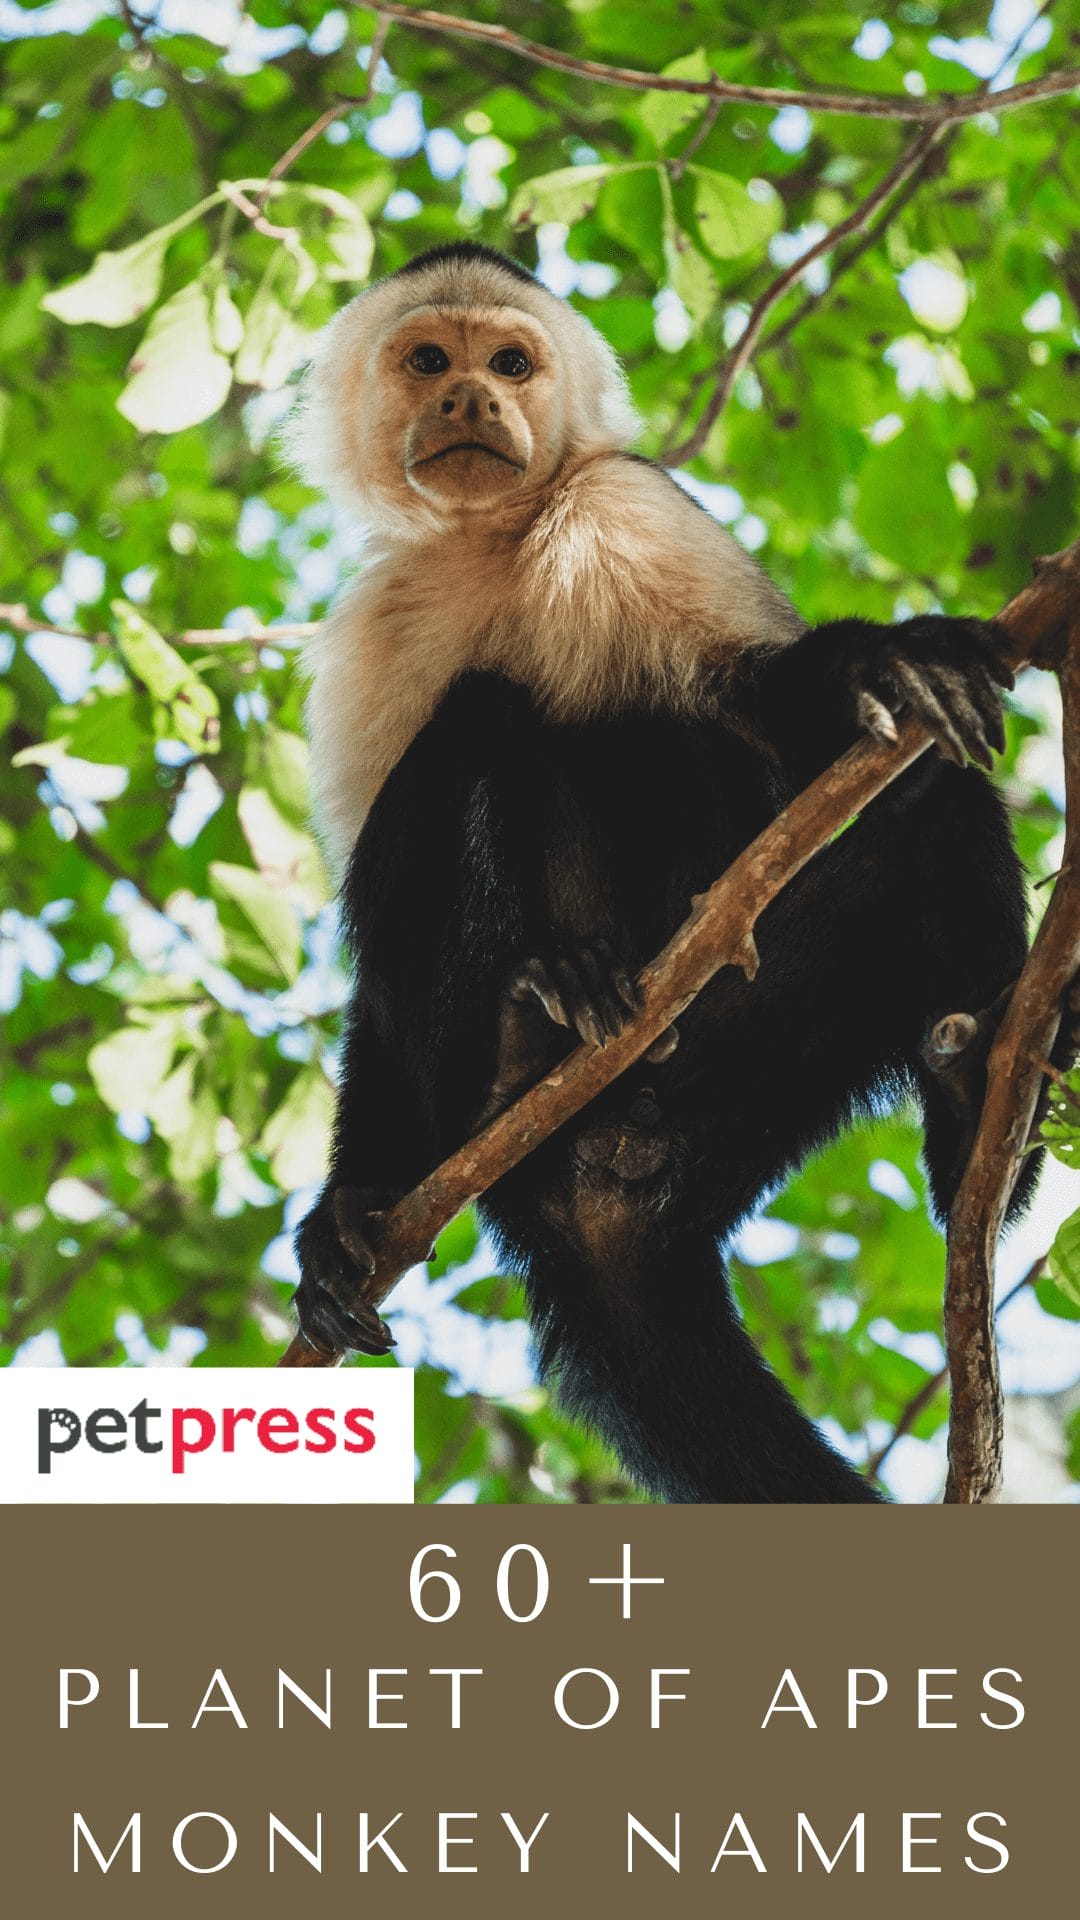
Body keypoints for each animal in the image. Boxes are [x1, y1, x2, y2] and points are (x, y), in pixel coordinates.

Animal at [287, 240, 1038, 1504]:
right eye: (429, 360)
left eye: (511, 363)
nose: (471, 400)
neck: (494, 539)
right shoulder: (369, 631)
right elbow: (373, 977)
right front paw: (346, 1210)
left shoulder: (628, 504)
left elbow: (774, 720)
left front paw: (875, 667)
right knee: (477, 727)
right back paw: (530, 1013)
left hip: (752, 1062)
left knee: (924, 815)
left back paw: (980, 1110)